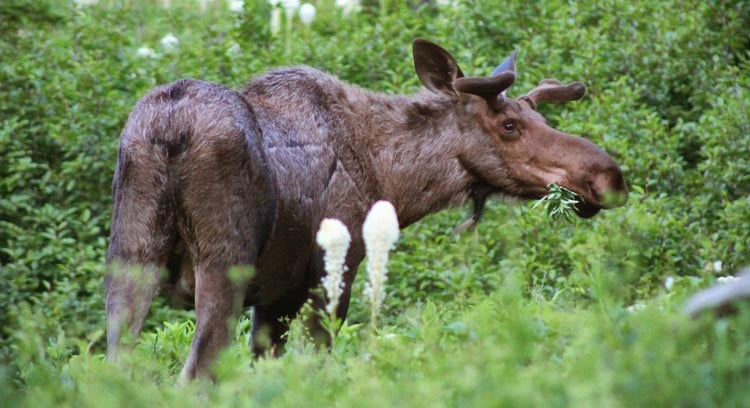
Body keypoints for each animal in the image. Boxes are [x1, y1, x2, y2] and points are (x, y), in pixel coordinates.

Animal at [104, 39, 628, 380]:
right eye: (509, 124)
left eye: (537, 116)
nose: (608, 176)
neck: (391, 179)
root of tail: (170, 131)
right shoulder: (329, 274)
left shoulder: (278, 295)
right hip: (224, 263)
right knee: (194, 376)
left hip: (131, 254)